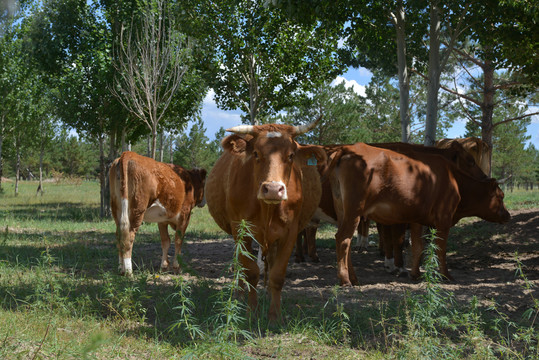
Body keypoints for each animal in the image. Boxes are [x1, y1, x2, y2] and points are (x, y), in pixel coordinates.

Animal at [205, 120, 326, 320]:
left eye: (291, 155)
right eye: (256, 153)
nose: (273, 189)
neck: (267, 209)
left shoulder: (290, 233)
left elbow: (277, 274)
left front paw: (275, 315)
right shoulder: (241, 230)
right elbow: (251, 272)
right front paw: (251, 311)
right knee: (240, 265)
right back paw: (239, 295)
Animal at [324, 142, 510, 286]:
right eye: (501, 196)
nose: (508, 215)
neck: (452, 178)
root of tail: (348, 148)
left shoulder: (417, 219)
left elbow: (418, 247)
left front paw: (415, 274)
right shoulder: (444, 220)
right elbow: (440, 250)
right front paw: (445, 275)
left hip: (343, 211)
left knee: (345, 242)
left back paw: (354, 278)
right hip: (354, 211)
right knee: (343, 239)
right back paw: (345, 280)